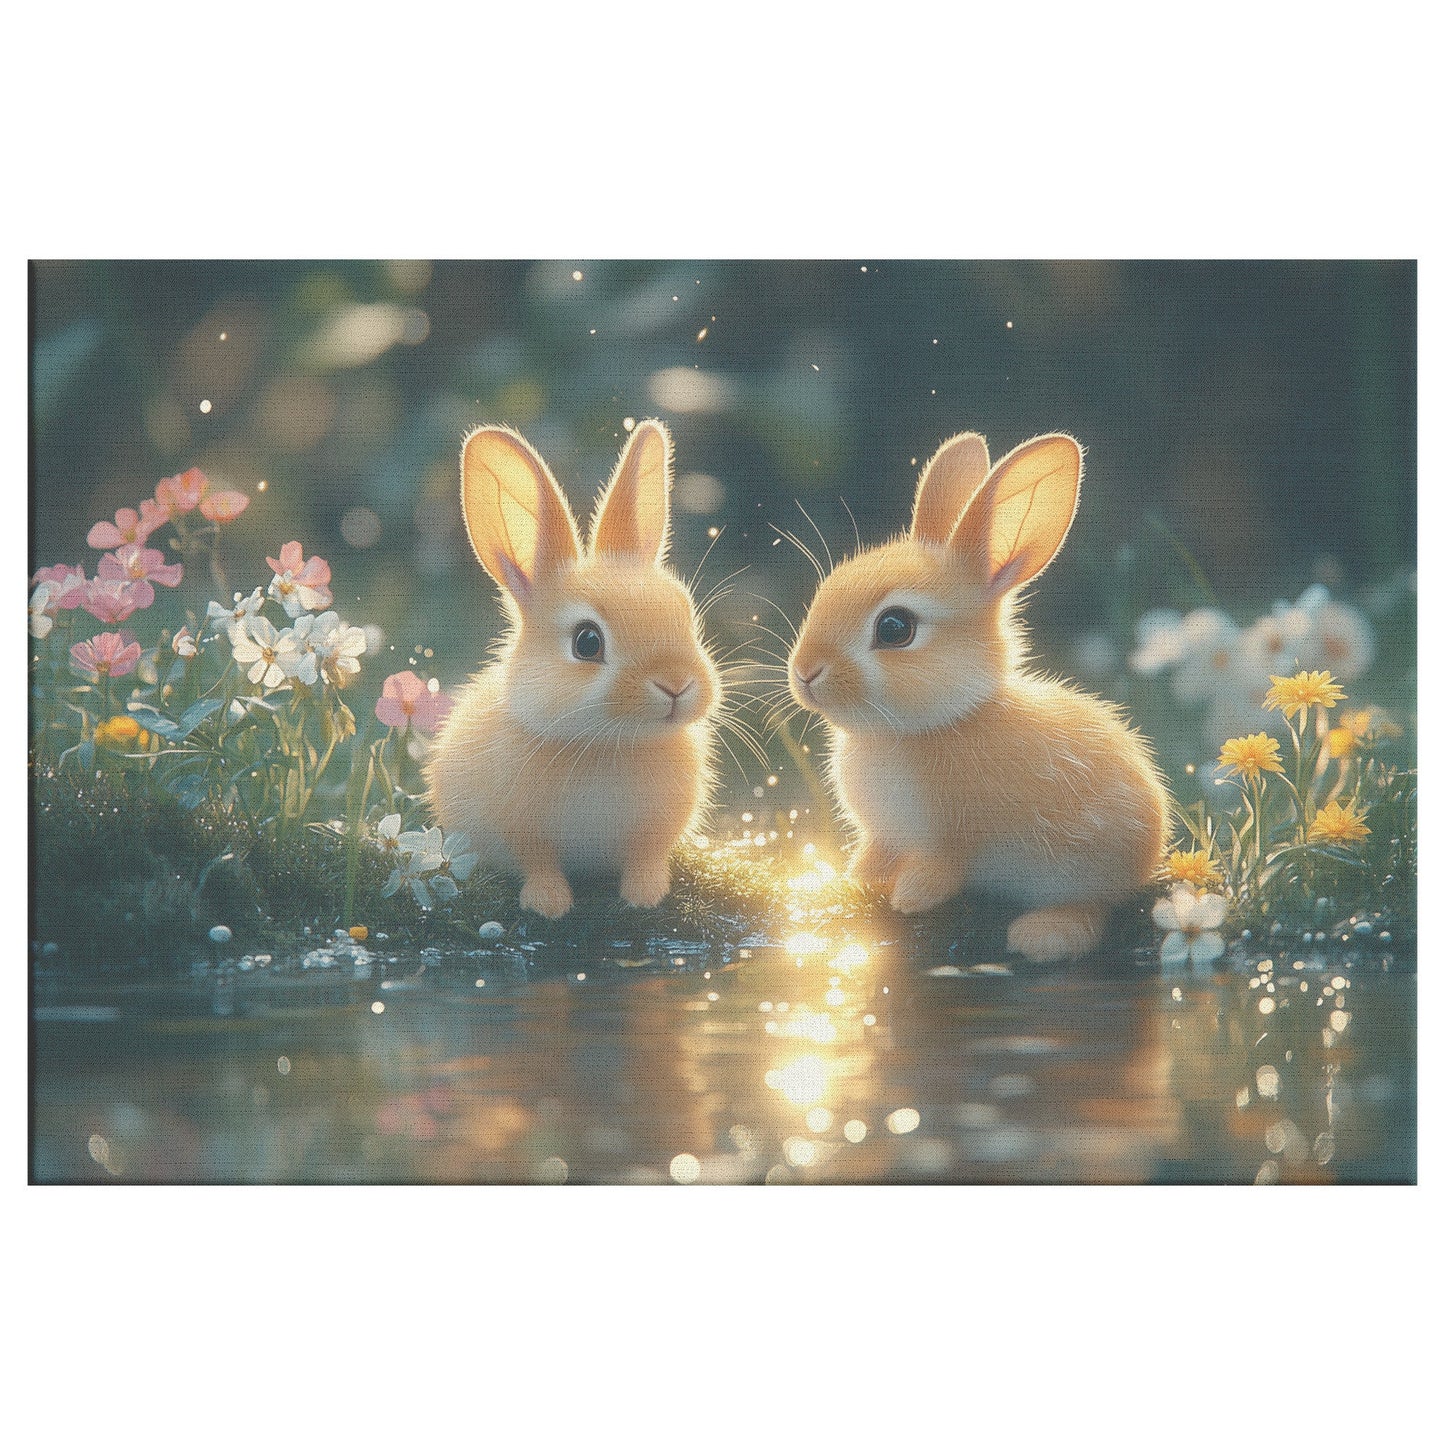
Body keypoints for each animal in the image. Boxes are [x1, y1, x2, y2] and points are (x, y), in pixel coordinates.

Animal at [426, 419, 721, 919]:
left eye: (685, 615)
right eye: (587, 642)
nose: (676, 685)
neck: (604, 743)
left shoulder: (652, 833)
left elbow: (645, 859)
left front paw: (644, 895)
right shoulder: (524, 831)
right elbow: (539, 865)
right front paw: (548, 904)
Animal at [786, 430, 1171, 963]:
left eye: (895, 628)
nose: (805, 673)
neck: (929, 726)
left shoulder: (956, 839)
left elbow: (944, 869)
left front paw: (910, 898)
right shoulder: (884, 834)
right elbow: (875, 853)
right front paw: (854, 877)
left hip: (1088, 871)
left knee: (1092, 908)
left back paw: (1043, 936)